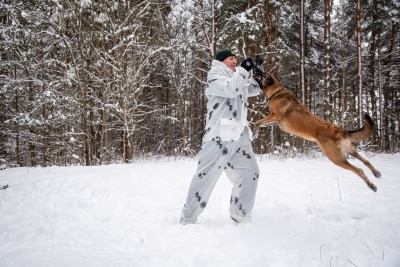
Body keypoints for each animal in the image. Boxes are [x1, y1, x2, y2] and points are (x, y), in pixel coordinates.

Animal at [253, 72, 382, 192]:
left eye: (263, 74)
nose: (257, 70)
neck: (277, 92)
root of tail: (341, 131)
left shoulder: (275, 116)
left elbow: (257, 122)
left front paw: (254, 133)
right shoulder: (274, 121)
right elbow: (260, 123)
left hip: (336, 158)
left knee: (359, 170)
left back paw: (372, 185)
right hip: (350, 150)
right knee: (366, 161)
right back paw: (376, 173)